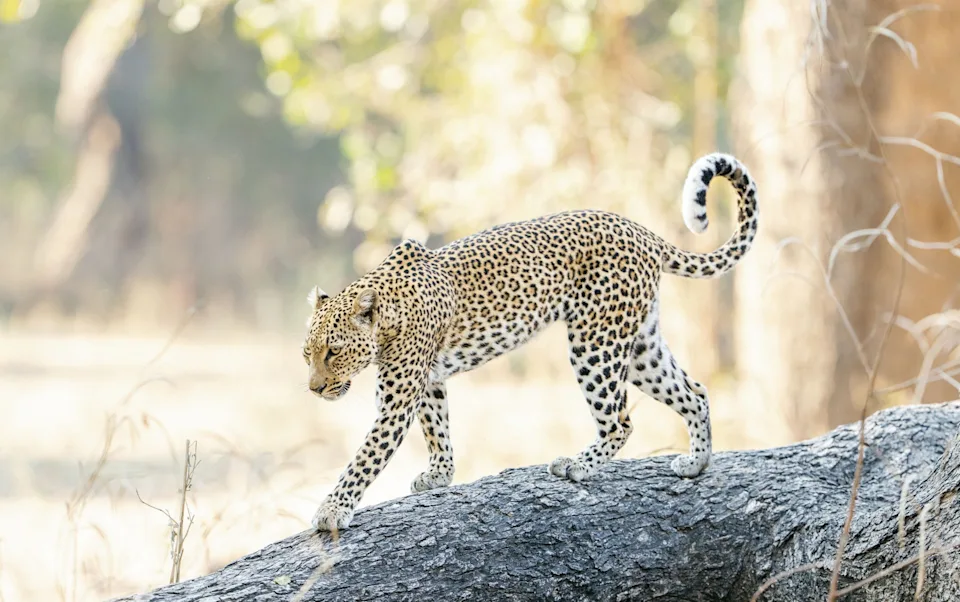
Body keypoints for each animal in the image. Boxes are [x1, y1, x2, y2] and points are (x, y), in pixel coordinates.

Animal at [303, 152, 758, 532]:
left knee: (620, 420)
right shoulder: (427, 380)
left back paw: (577, 466)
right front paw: (440, 474)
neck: (385, 316)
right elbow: (438, 427)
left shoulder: (398, 399)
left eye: (334, 351)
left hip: (595, 342)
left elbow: (365, 457)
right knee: (694, 391)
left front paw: (332, 510)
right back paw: (696, 463)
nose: (314, 389)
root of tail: (641, 231)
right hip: (640, 343)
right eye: (308, 354)